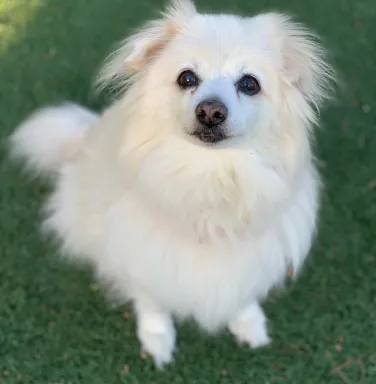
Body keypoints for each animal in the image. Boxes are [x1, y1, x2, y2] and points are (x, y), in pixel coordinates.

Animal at [11, 0, 334, 366]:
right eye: (187, 78)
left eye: (250, 84)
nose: (210, 111)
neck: (210, 176)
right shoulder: (141, 252)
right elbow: (152, 301)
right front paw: (157, 340)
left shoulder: (250, 254)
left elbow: (242, 290)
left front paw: (249, 325)